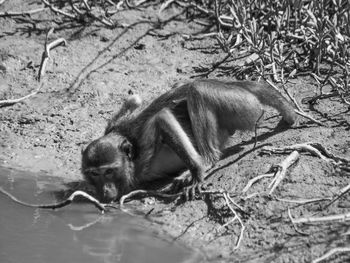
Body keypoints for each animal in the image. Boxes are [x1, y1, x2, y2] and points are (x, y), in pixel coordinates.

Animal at [80, 79, 296, 203]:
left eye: (109, 171)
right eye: (95, 174)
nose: (105, 190)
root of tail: (236, 84)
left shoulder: (143, 153)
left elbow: (162, 118)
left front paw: (198, 171)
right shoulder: (113, 127)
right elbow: (135, 101)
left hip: (245, 105)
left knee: (197, 88)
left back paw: (206, 160)